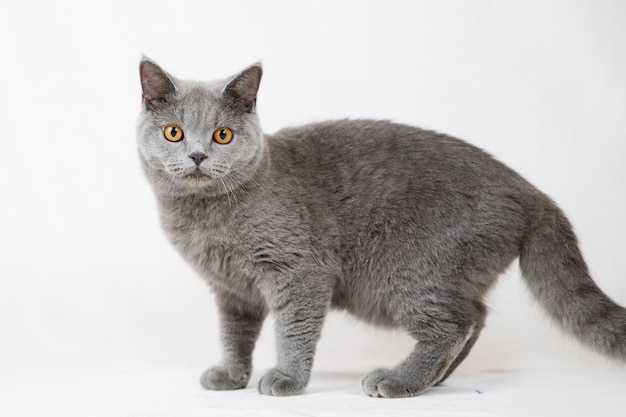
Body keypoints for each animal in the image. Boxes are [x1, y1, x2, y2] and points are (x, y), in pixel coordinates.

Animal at [136, 57, 624, 396]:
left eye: (222, 135)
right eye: (174, 132)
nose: (198, 155)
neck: (205, 217)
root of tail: (531, 193)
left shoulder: (301, 270)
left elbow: (293, 327)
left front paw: (287, 379)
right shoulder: (232, 289)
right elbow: (235, 334)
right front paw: (232, 375)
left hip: (411, 272)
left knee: (452, 325)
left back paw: (400, 380)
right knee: (475, 316)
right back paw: (435, 379)